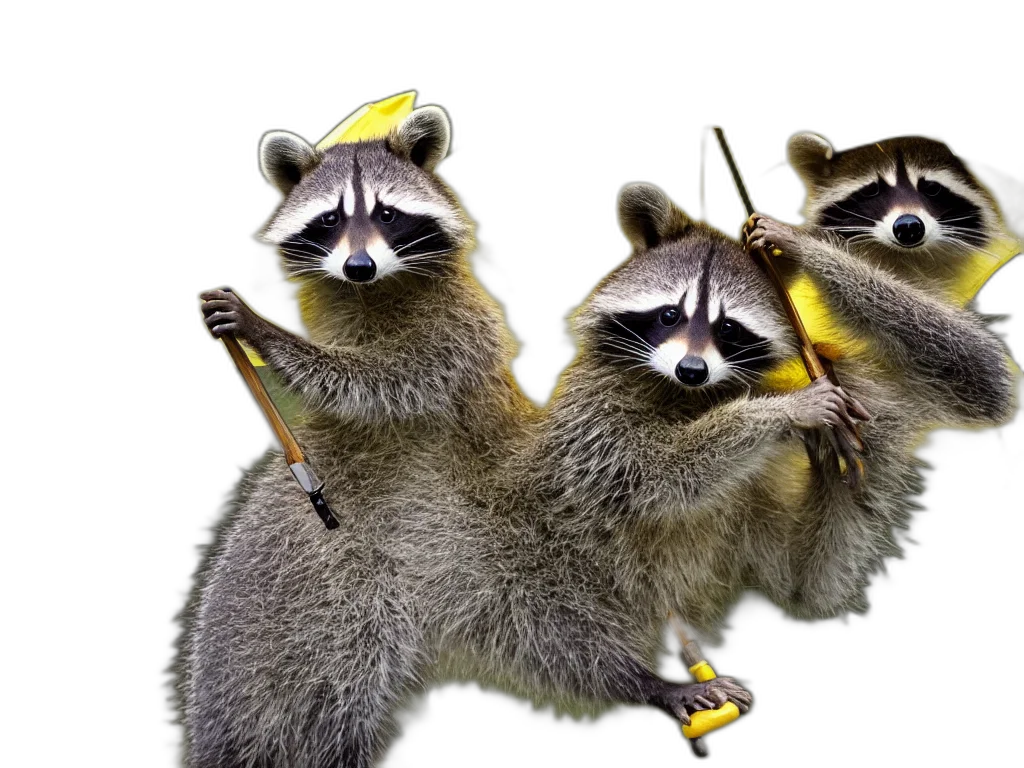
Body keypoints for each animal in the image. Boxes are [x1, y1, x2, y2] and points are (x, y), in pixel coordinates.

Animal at [740, 132, 1020, 619]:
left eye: (932, 189)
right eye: (872, 191)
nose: (909, 227)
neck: (898, 259)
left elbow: (984, 371)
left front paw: (809, 247)